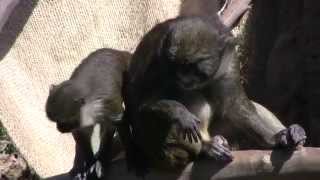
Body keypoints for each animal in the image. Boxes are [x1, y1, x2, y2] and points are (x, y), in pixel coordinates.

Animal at [44, 48, 130, 180]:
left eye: (65, 121)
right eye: (57, 122)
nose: (60, 128)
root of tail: (119, 52)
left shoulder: (107, 104)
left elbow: (112, 125)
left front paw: (102, 160)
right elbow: (81, 135)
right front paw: (89, 162)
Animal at [120, 14, 308, 177]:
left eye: (193, 66)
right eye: (178, 66)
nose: (183, 78)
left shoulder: (229, 60)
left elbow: (235, 104)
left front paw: (274, 139)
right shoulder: (158, 61)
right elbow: (144, 103)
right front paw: (179, 112)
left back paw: (293, 133)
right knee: (189, 99)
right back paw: (205, 148)